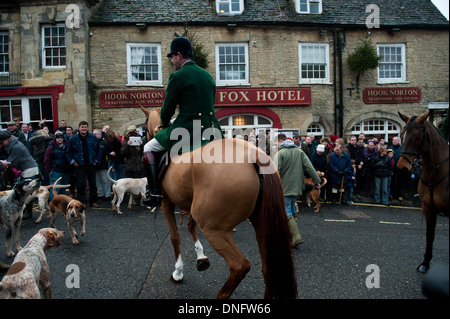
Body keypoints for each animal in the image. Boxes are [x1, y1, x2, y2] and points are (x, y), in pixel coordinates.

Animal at [139, 105, 298, 300]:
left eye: (144, 124)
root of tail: (254, 155)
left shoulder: (166, 203)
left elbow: (175, 237)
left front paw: (178, 272)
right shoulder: (191, 206)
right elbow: (190, 227)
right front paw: (201, 257)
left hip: (214, 228)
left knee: (239, 266)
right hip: (262, 224)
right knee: (269, 270)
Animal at [400, 111, 448, 274]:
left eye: (417, 137)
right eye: (401, 135)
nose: (402, 167)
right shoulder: (428, 207)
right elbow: (429, 234)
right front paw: (425, 262)